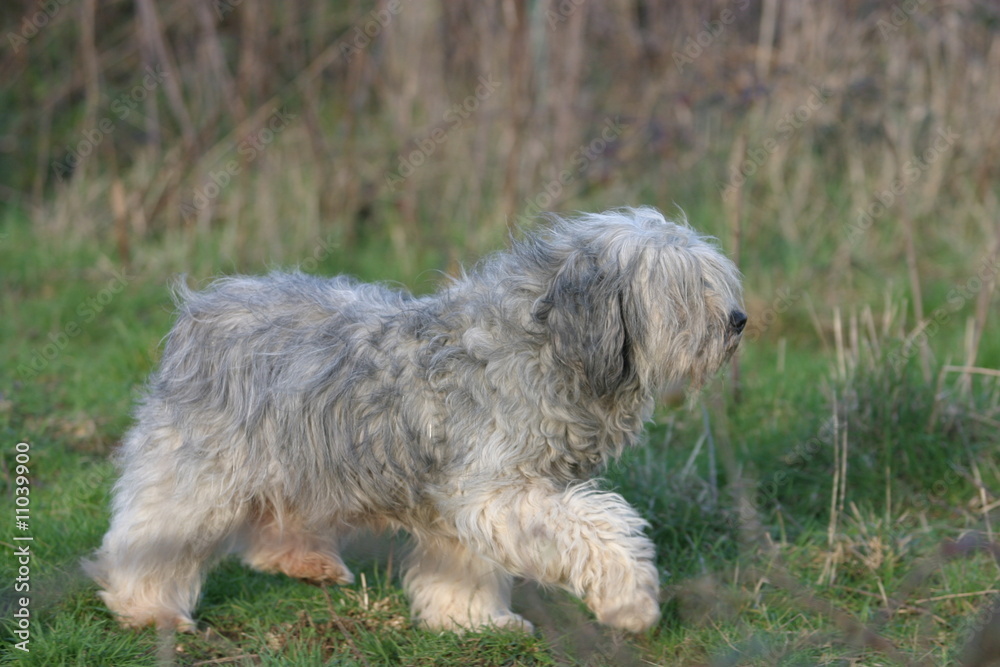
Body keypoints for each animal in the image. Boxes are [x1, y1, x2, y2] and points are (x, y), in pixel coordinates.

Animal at [84, 206, 744, 636]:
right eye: (683, 291)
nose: (739, 320)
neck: (545, 344)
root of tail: (199, 306)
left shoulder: (469, 498)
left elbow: (466, 565)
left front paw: (472, 620)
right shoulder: (499, 493)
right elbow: (600, 531)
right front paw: (631, 602)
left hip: (299, 457)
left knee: (273, 528)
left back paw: (308, 563)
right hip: (202, 471)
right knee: (149, 535)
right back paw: (148, 609)